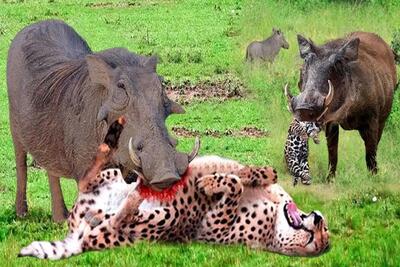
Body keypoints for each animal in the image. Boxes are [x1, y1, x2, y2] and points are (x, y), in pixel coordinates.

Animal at [18, 116, 330, 260]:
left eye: (319, 240)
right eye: (322, 232)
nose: (318, 219)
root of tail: (80, 234)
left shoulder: (211, 224)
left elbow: (233, 184)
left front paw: (208, 184)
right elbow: (251, 174)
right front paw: (244, 175)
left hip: (157, 221)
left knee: (120, 217)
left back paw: (136, 194)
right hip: (109, 177)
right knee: (90, 173)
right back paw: (118, 134)